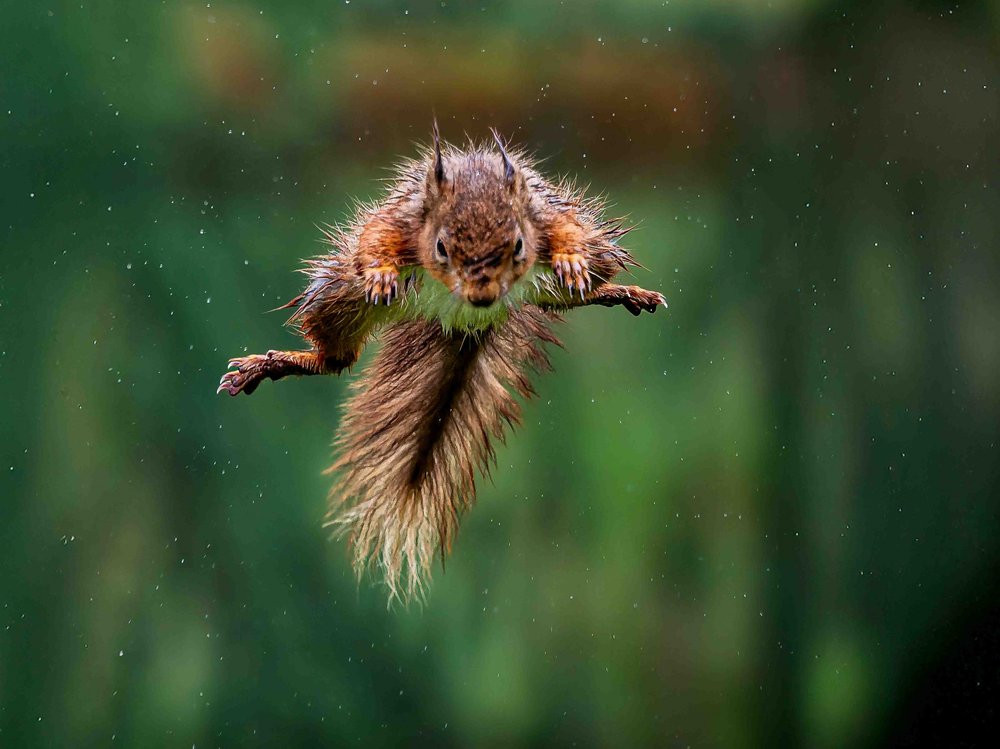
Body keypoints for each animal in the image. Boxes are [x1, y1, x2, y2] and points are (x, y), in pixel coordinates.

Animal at [218, 123, 666, 603]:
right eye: (441, 247)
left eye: (519, 245)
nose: (482, 294)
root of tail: (468, 322)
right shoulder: (402, 218)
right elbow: (375, 238)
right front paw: (380, 271)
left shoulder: (544, 214)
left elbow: (568, 231)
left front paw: (571, 259)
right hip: (338, 297)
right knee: (335, 358)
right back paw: (272, 365)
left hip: (589, 262)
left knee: (574, 292)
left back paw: (619, 292)